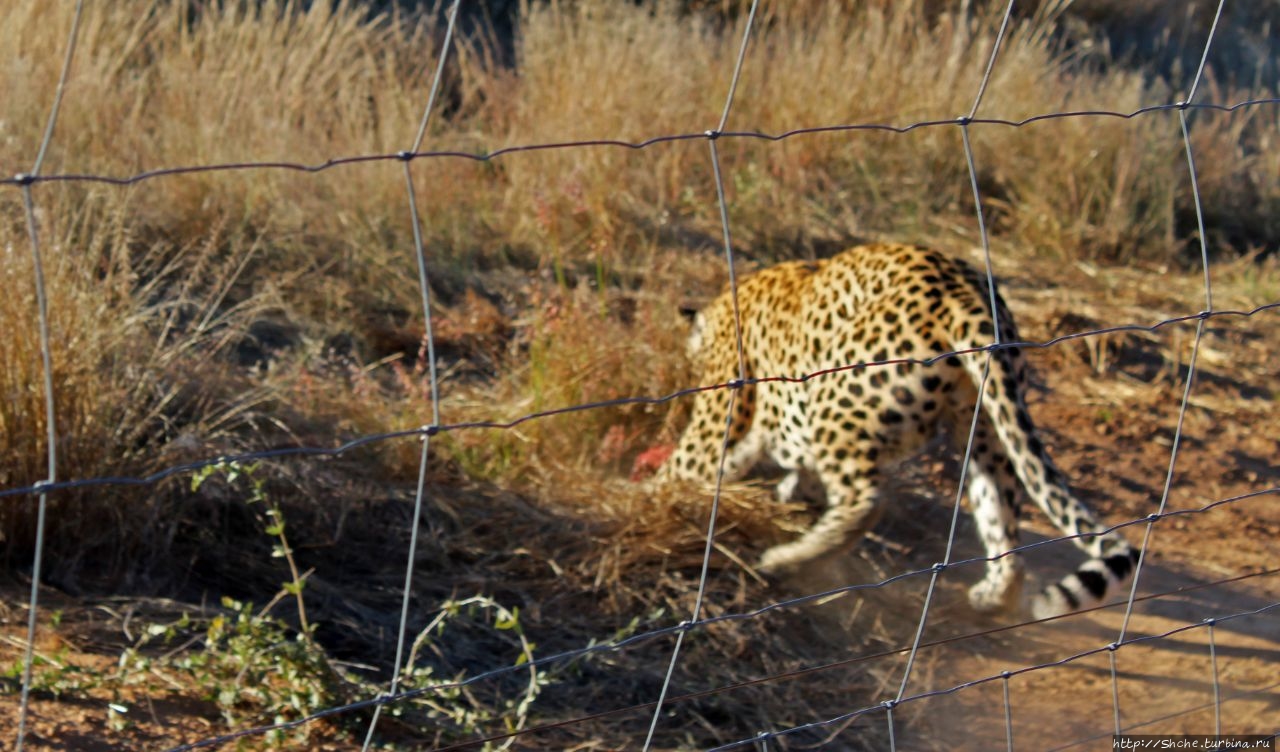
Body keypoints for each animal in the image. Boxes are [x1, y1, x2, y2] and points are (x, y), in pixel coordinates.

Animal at [660, 244, 1141, 618]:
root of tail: (962, 290)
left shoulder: (726, 409)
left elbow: (689, 463)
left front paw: (648, 495)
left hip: (837, 400)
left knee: (866, 500)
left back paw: (785, 562)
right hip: (985, 427)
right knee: (1000, 512)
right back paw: (993, 596)